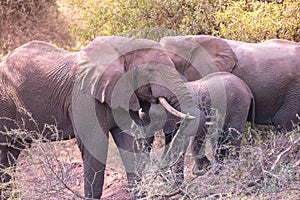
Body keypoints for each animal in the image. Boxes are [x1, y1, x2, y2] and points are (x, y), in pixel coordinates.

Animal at [0, 36, 202, 199]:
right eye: (151, 70)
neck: (121, 48)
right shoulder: (84, 97)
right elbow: (95, 144)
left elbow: (130, 142)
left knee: (9, 155)